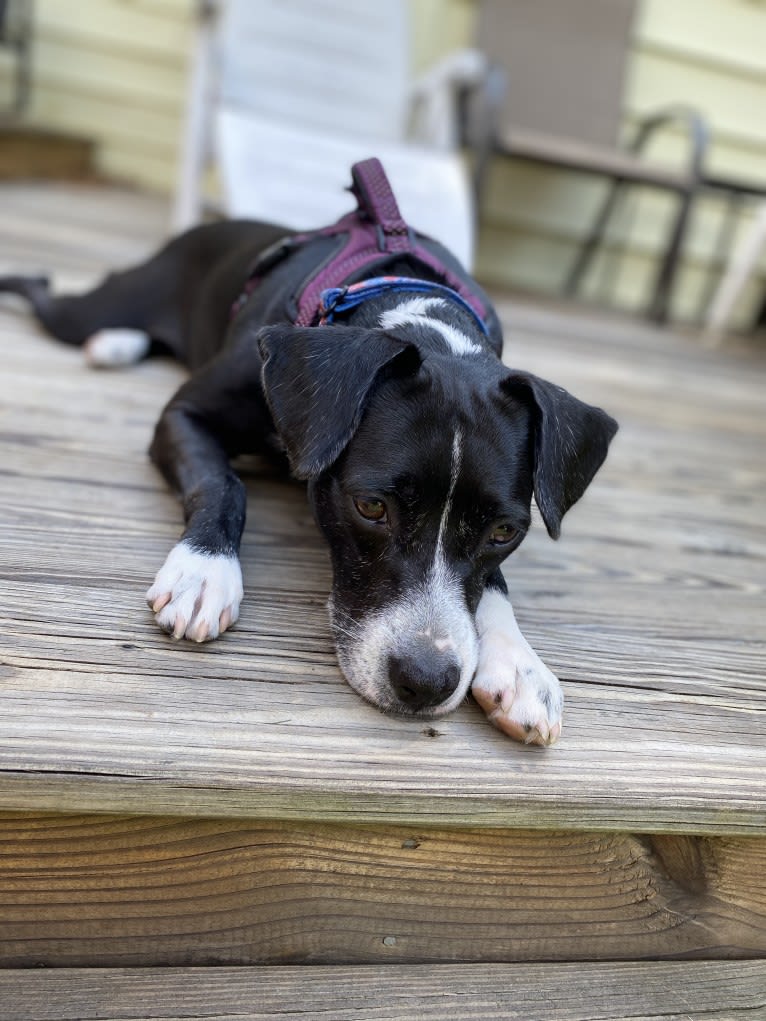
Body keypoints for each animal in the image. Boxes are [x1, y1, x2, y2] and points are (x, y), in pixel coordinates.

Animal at [0, 163, 616, 747]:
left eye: (503, 532)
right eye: (371, 507)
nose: (427, 682)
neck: (410, 313)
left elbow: (494, 583)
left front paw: (520, 664)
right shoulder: (183, 415)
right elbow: (223, 483)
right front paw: (203, 571)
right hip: (90, 306)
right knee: (45, 289)